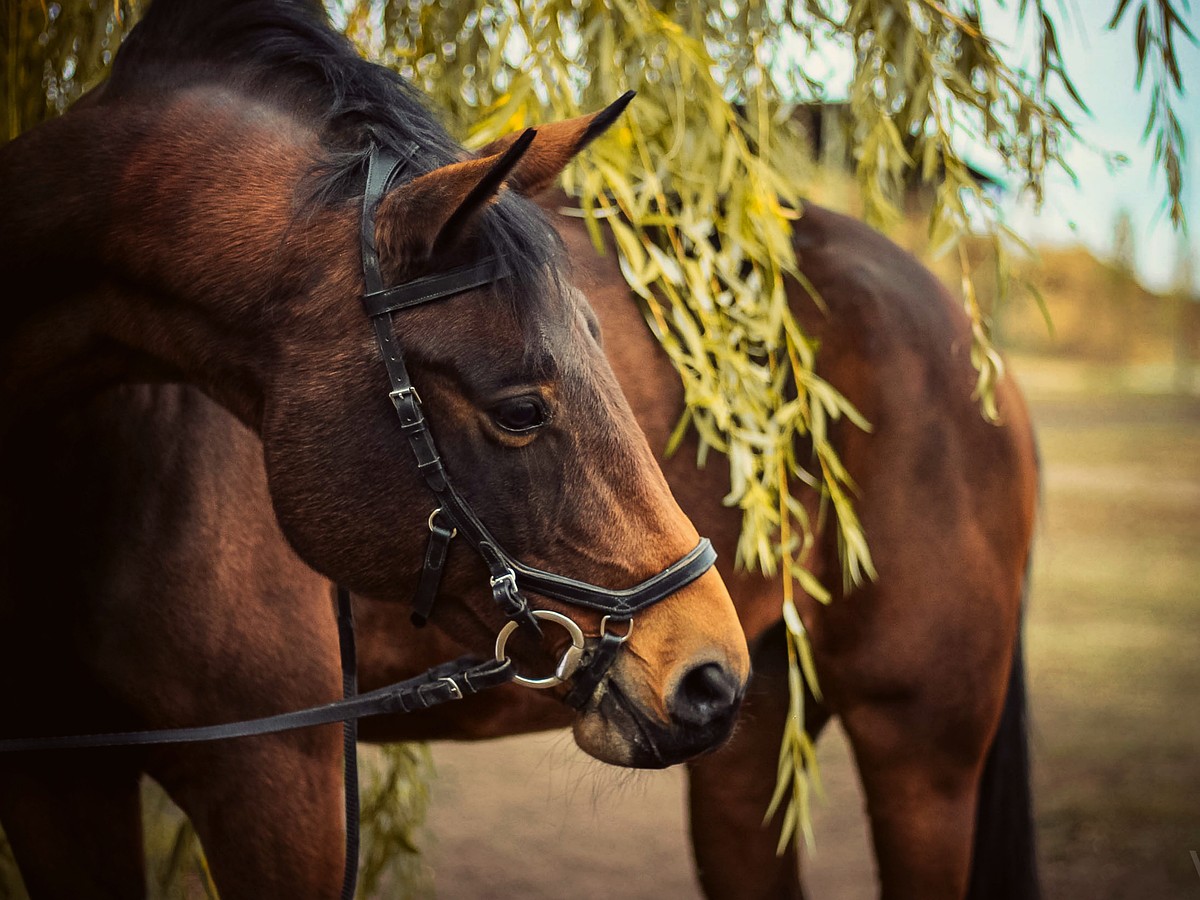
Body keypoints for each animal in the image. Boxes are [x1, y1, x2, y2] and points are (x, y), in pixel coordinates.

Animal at [0, 187, 1036, 897]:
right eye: (520, 410)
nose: (700, 670)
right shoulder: (57, 779)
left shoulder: (276, 783)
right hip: (755, 737)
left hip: (920, 746)